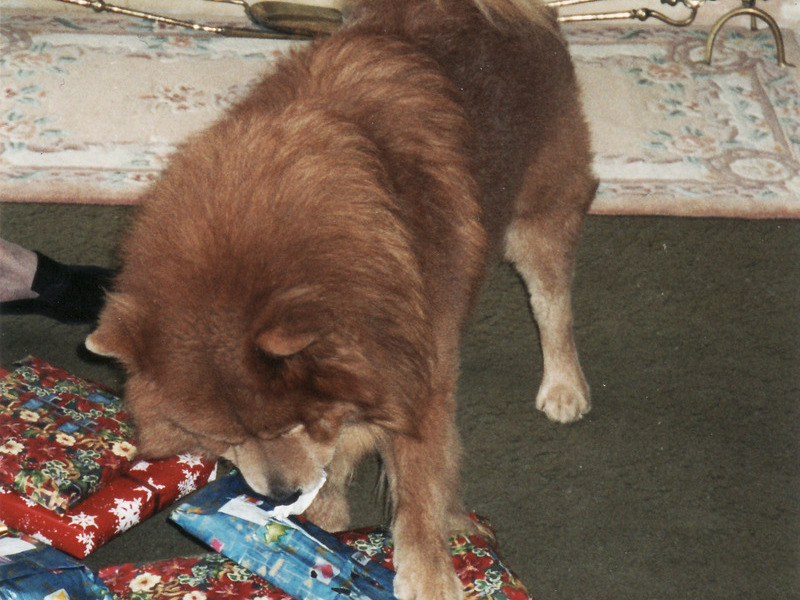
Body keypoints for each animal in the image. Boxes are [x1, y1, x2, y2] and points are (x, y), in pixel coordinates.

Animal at [87, 0, 596, 596]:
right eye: (225, 437)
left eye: (286, 425)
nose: (280, 496)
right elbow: (337, 456)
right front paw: (323, 516)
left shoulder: (418, 373)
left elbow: (419, 482)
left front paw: (427, 572)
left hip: (538, 215)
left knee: (553, 305)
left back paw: (564, 386)